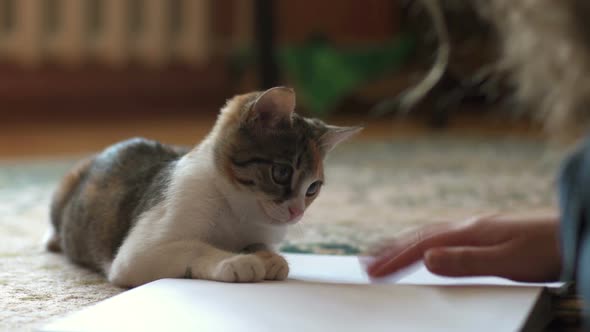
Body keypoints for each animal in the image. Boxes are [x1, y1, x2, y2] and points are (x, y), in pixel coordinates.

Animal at [45, 86, 360, 288]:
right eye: (281, 172)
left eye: (313, 188)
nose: (297, 212)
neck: (237, 210)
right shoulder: (136, 253)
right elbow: (193, 247)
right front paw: (237, 261)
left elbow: (260, 244)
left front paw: (268, 257)